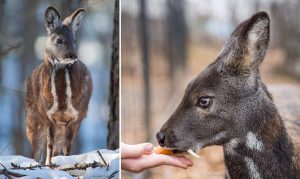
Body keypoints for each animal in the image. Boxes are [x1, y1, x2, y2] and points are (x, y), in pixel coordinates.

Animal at [25, 7, 92, 165]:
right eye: (59, 40)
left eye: (74, 40)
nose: (73, 55)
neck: (62, 102)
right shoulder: (48, 115)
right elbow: (50, 145)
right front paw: (50, 165)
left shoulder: (77, 117)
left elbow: (67, 147)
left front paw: (65, 163)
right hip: (32, 120)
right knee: (36, 150)